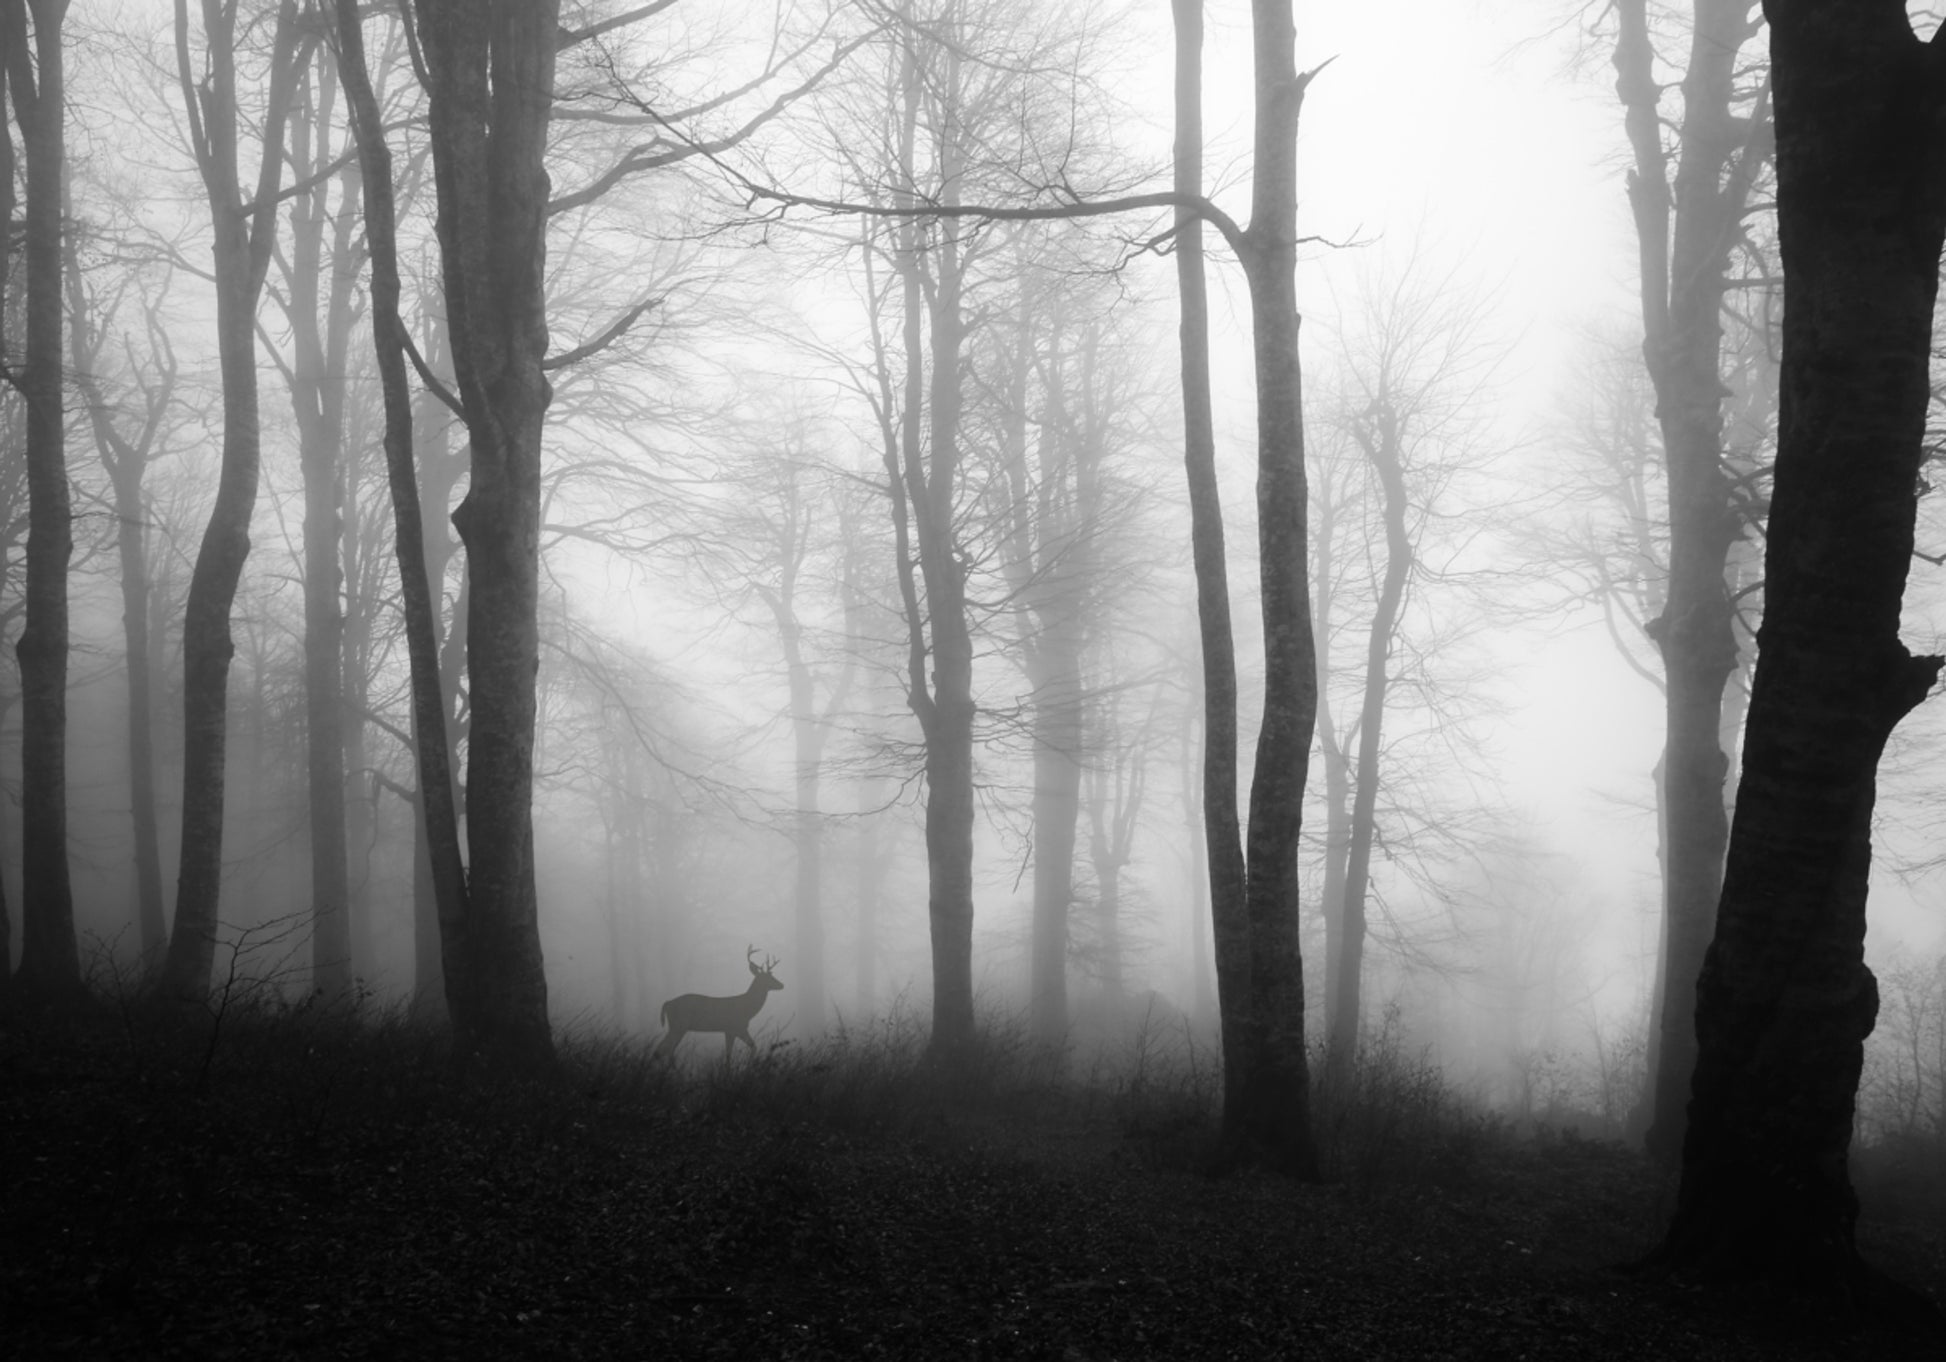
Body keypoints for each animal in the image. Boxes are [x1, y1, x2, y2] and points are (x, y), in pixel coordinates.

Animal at [655, 946, 784, 1061]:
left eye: (772, 975)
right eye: (767, 977)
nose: (782, 984)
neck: (747, 1008)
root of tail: (667, 1003)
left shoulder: (730, 1030)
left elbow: (739, 1051)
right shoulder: (735, 1028)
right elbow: (740, 1052)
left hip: (678, 1027)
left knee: (665, 1049)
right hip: (678, 1025)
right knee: (664, 1049)